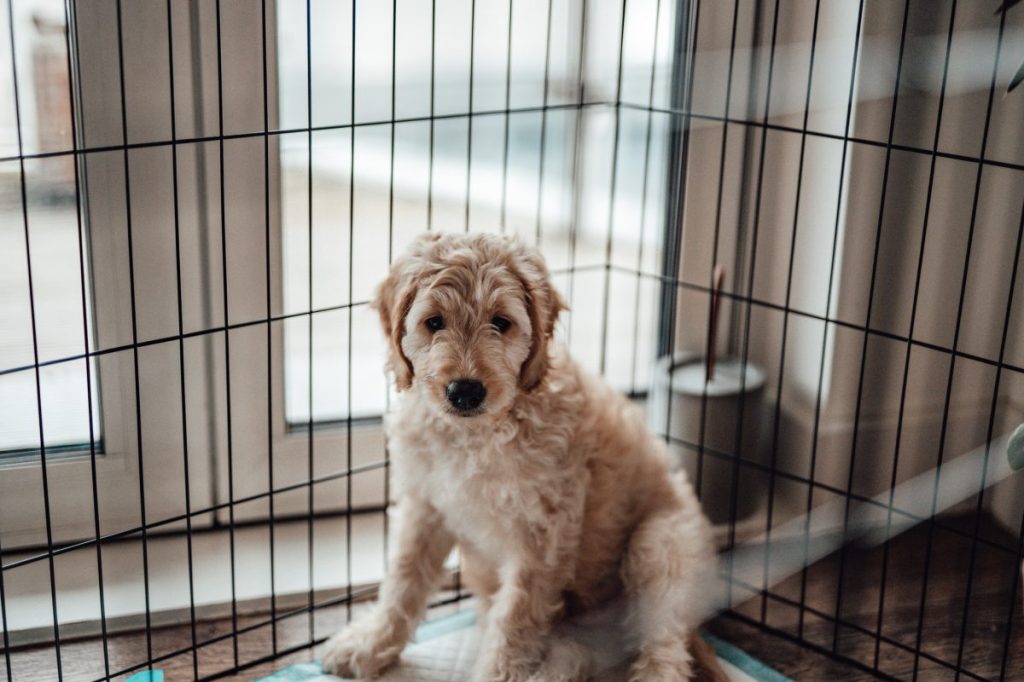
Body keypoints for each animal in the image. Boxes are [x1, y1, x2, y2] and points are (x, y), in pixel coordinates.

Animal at [323, 233, 724, 679]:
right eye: (434, 322)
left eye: (501, 323)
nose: (465, 391)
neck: (476, 434)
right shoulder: (426, 505)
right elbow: (404, 579)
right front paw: (370, 642)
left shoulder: (541, 531)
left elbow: (517, 616)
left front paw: (495, 672)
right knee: (574, 653)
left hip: (660, 546)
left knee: (664, 649)